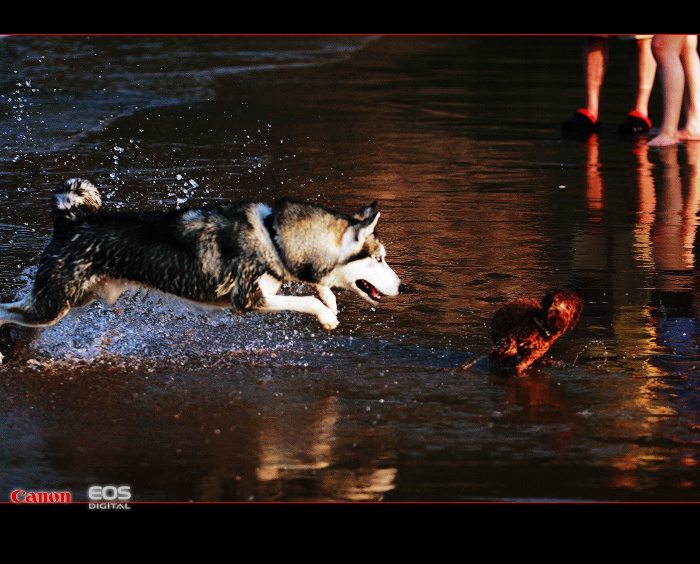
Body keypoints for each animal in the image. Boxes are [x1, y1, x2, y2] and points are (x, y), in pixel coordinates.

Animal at [0, 178, 402, 360]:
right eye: (380, 259)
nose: (402, 287)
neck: (275, 235)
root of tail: (70, 220)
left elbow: (318, 286)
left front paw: (329, 301)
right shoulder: (248, 300)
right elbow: (306, 300)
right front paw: (327, 315)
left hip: (71, 300)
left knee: (18, 310)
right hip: (54, 304)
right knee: (6, 310)